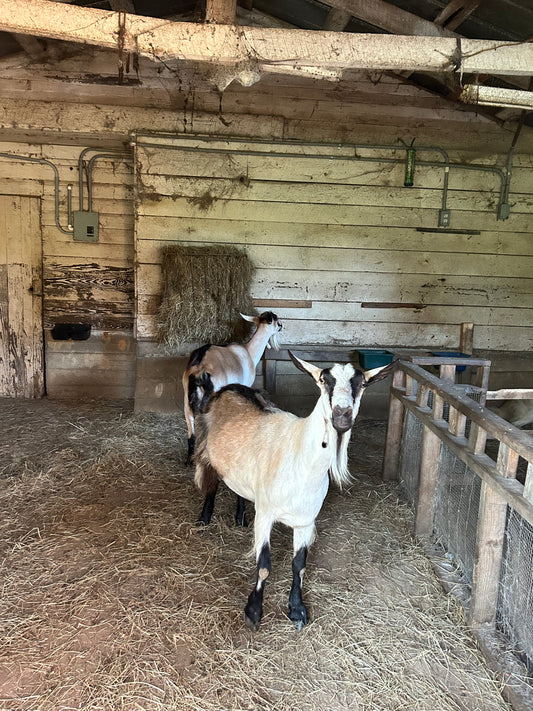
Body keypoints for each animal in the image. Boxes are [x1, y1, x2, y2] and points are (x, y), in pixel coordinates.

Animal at [194, 354, 394, 632]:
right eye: (323, 380)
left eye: (363, 383)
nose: (342, 415)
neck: (299, 456)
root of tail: (230, 387)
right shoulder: (265, 514)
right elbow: (264, 565)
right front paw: (253, 613)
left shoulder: (305, 521)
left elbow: (299, 566)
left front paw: (297, 610)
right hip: (205, 450)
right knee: (211, 483)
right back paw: (204, 518)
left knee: (238, 489)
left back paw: (240, 517)